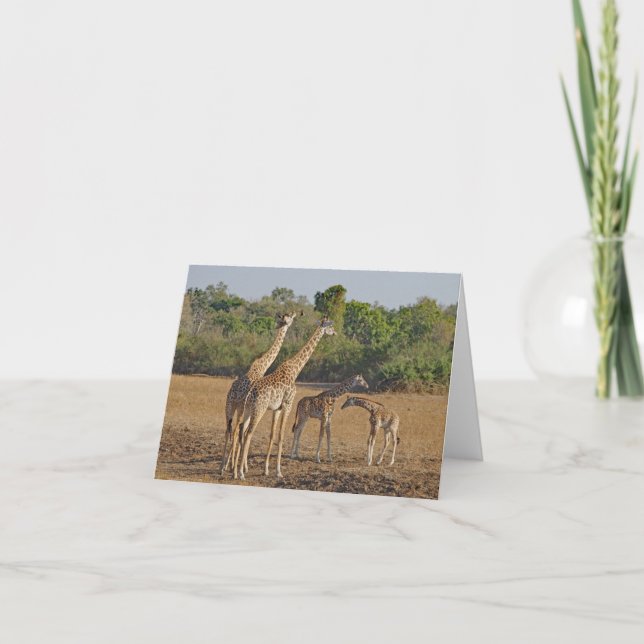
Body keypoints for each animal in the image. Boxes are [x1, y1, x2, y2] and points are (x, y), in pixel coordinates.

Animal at [220, 311, 300, 474]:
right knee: (238, 430)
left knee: (229, 429)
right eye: (289, 318)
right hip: (240, 407)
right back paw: (231, 467)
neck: (261, 366)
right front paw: (241, 467)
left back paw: (223, 467)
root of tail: (233, 393)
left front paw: (235, 466)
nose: (295, 316)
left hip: (230, 406)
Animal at [233, 317, 336, 480]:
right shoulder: (288, 404)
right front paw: (278, 471)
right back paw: (241, 473)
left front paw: (266, 470)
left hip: (248, 409)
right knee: (248, 432)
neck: (295, 369)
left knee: (242, 429)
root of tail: (250, 393)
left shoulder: (277, 408)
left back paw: (236, 471)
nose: (335, 332)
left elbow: (273, 434)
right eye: (330, 326)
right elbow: (281, 435)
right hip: (259, 409)